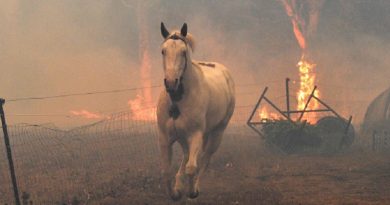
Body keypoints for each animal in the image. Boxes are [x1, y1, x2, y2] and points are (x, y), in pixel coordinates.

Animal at [157, 22, 236, 200]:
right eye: (163, 51)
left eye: (183, 52)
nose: (171, 83)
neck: (177, 100)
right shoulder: (165, 138)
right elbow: (166, 171)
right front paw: (175, 193)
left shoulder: (195, 135)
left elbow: (192, 167)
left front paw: (191, 191)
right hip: (185, 138)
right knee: (187, 157)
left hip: (217, 132)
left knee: (205, 159)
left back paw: (194, 187)